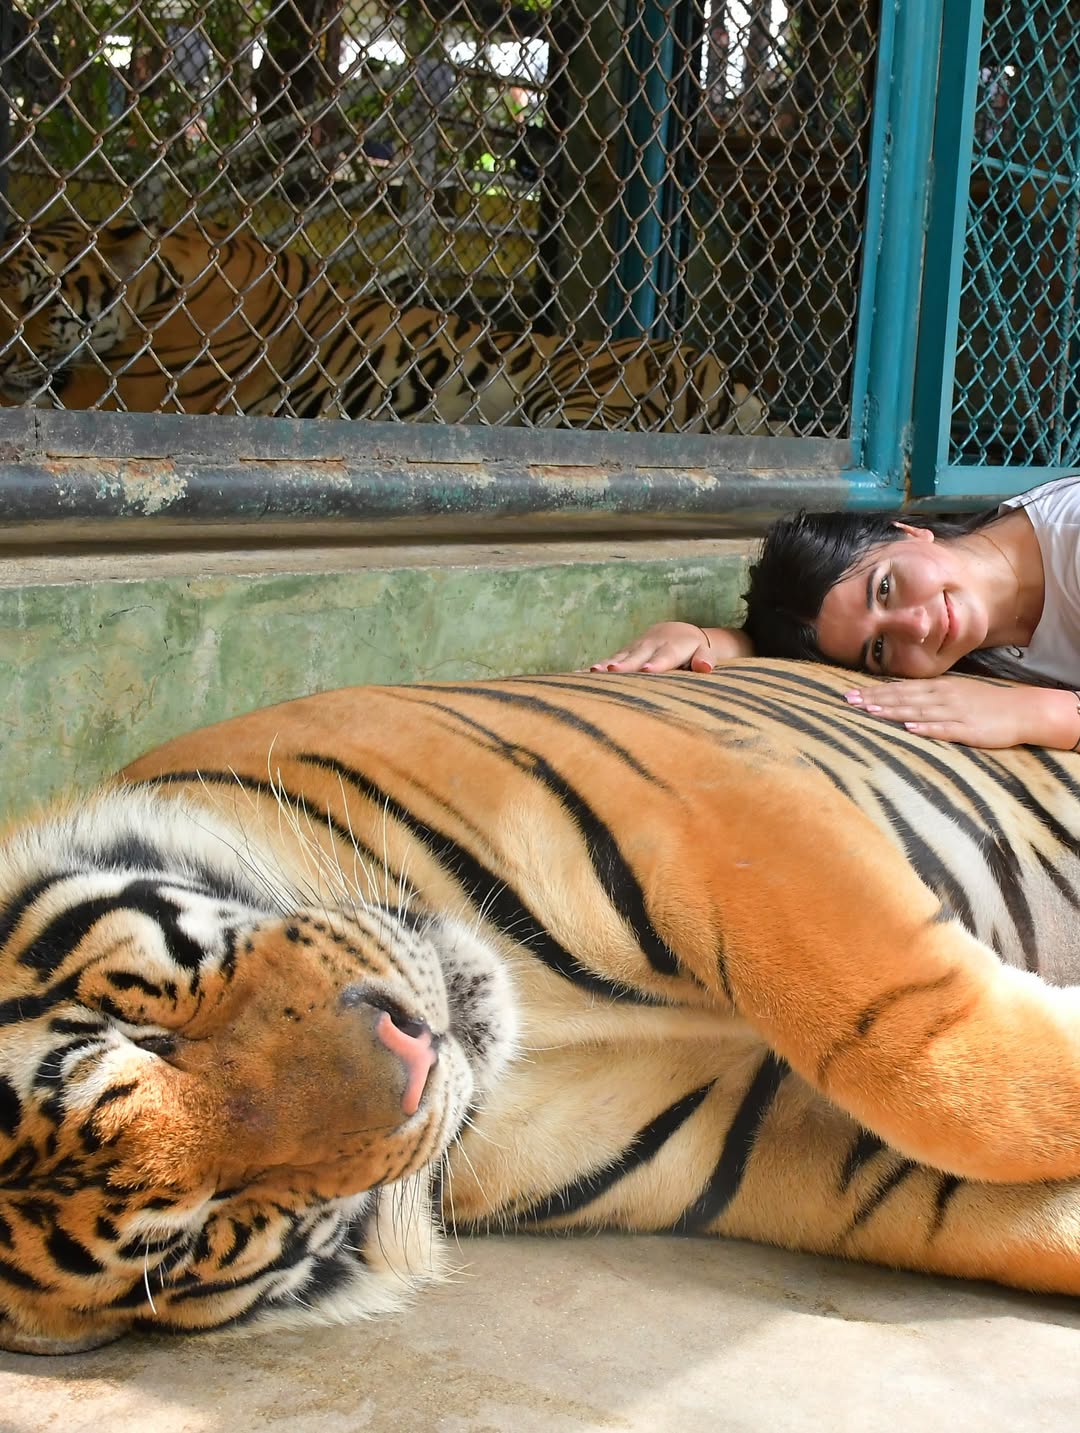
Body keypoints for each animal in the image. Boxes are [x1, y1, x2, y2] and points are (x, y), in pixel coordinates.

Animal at [4, 660, 1080, 1355]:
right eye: (214, 1216)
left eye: (152, 1032)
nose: (414, 1056)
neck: (537, 1032)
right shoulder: (750, 1130)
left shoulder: (710, 805)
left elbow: (935, 1066)